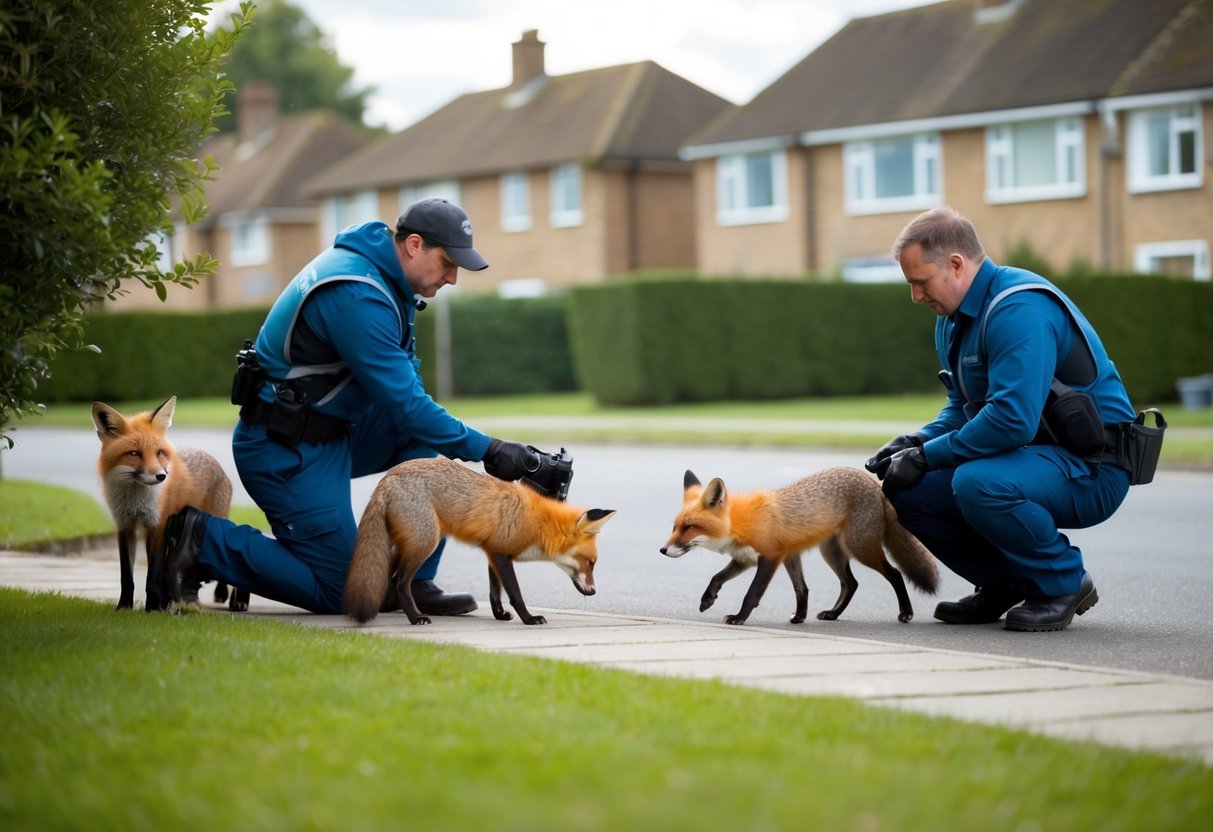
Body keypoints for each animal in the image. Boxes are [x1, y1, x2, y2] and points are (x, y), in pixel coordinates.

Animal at [92, 396, 247, 612]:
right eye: (134, 453)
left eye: (159, 452)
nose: (161, 476)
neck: (135, 500)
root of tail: (208, 455)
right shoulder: (125, 526)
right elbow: (127, 576)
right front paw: (124, 607)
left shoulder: (158, 525)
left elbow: (153, 576)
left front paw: (152, 608)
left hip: (213, 521)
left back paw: (236, 599)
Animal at [344, 457, 616, 626]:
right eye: (591, 562)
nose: (593, 592)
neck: (538, 524)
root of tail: (389, 477)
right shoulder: (501, 554)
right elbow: (515, 593)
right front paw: (529, 619)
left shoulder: (493, 552)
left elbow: (495, 592)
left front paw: (500, 615)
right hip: (425, 543)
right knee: (399, 581)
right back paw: (415, 618)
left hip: (403, 545)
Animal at [661, 467, 938, 625]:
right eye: (675, 527)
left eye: (689, 527)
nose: (662, 550)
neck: (741, 523)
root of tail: (873, 482)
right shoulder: (750, 558)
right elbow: (717, 577)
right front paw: (708, 599)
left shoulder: (771, 556)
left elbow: (753, 593)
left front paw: (739, 618)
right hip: (831, 553)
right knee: (850, 583)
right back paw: (832, 614)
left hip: (861, 549)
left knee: (895, 574)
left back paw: (906, 613)